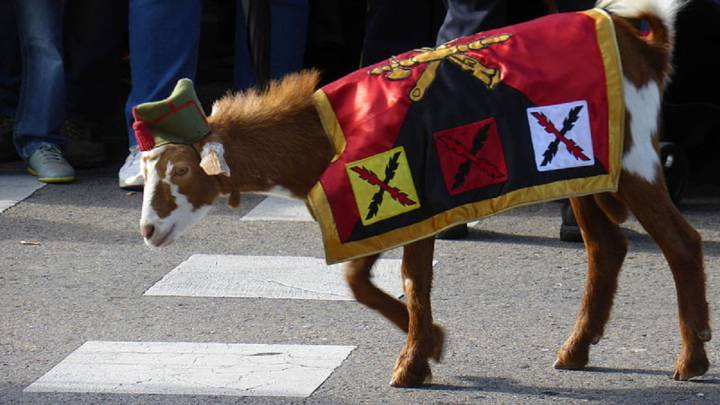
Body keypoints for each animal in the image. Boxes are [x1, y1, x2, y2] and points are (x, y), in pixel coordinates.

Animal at [136, 0, 710, 387]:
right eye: (148, 171)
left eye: (181, 169)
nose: (147, 230)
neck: (325, 135)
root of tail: (641, 43)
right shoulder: (381, 212)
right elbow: (359, 281)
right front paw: (430, 343)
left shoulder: (418, 201)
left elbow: (413, 280)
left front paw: (413, 361)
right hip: (584, 170)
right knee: (606, 248)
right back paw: (576, 350)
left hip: (632, 160)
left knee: (681, 243)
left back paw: (692, 359)